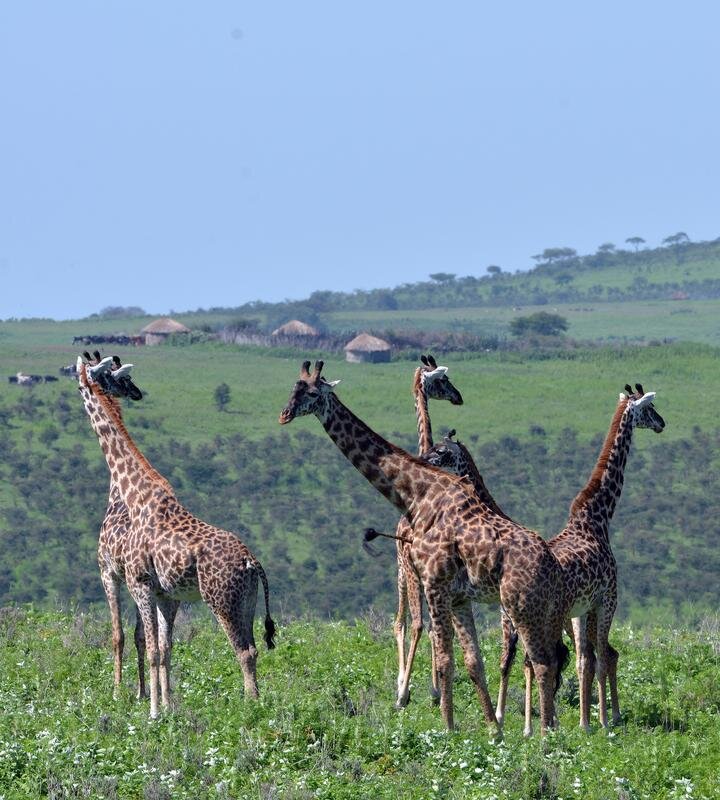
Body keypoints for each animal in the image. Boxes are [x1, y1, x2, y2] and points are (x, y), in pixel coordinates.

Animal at [77, 356, 276, 720]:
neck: (131, 494)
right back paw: (256, 702)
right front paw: (167, 707)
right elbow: (165, 648)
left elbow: (147, 645)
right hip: (248, 601)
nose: (137, 393)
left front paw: (152, 711)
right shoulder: (167, 595)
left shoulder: (134, 581)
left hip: (220, 601)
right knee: (254, 648)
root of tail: (252, 562)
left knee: (242, 651)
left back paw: (249, 710)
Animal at [282, 360, 568, 736]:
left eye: (313, 394)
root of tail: (553, 565)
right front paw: (493, 730)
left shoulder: (434, 582)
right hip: (537, 610)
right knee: (545, 660)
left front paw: (447, 727)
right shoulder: (458, 596)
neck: (417, 495)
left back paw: (545, 734)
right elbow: (472, 661)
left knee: (542, 662)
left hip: (521, 606)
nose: (284, 415)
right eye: (292, 389)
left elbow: (443, 655)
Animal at [492, 384, 668, 736]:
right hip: (548, 617)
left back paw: (525, 725)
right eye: (649, 408)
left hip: (521, 620)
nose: (662, 424)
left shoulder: (581, 609)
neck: (597, 518)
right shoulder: (606, 599)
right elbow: (596, 658)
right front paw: (599, 722)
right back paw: (545, 726)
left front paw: (587, 719)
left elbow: (585, 660)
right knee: (547, 662)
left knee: (528, 661)